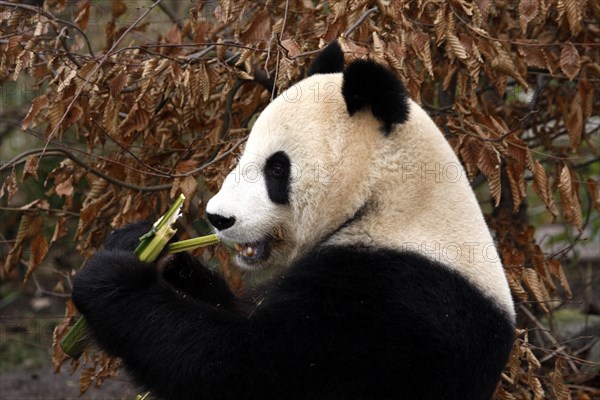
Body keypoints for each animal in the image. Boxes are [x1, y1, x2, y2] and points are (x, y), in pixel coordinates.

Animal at [72, 42, 516, 398]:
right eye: (244, 155)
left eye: (277, 168)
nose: (218, 217)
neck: (389, 198)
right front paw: (149, 245)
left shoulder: (391, 300)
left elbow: (250, 366)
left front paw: (110, 277)